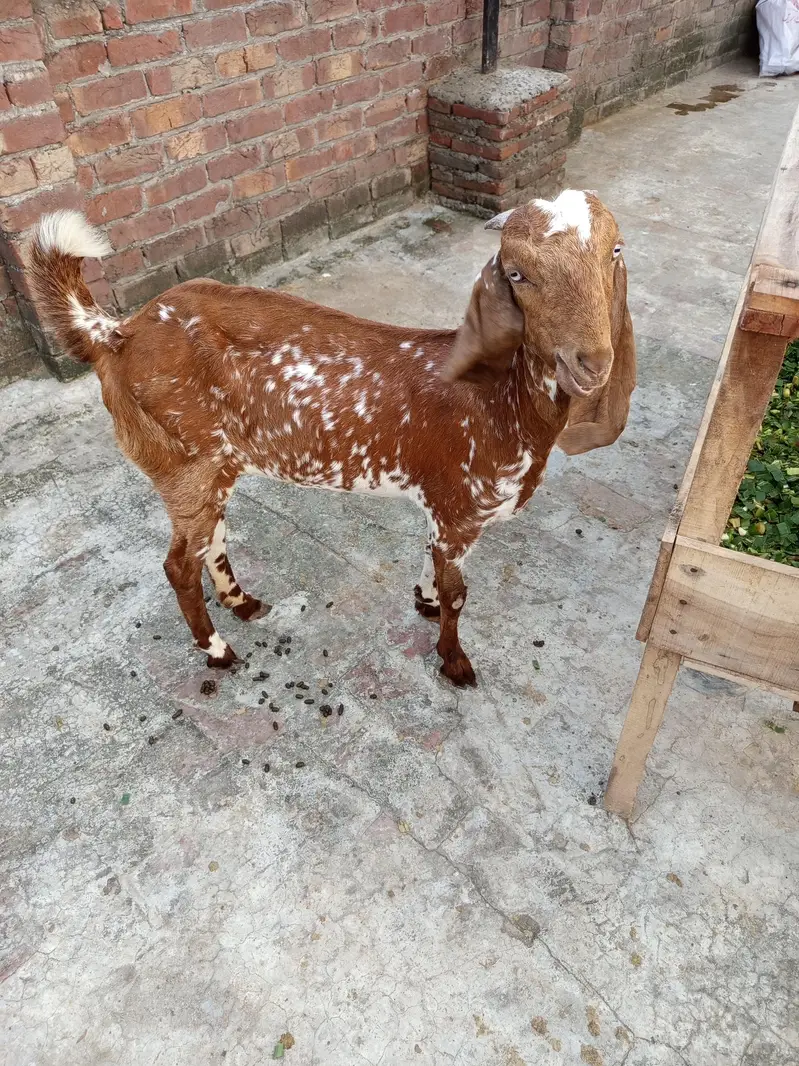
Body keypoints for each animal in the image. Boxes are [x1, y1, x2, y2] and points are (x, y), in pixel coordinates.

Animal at [25, 190, 635, 686]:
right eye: (516, 273)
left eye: (614, 251)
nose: (590, 363)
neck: (499, 401)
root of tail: (117, 334)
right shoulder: (461, 506)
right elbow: (460, 593)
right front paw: (454, 661)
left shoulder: (440, 505)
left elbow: (432, 562)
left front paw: (424, 601)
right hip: (184, 462)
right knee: (179, 565)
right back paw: (219, 651)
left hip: (214, 465)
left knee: (210, 539)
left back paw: (242, 603)